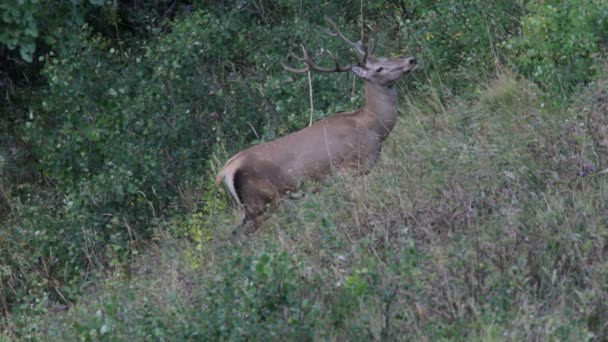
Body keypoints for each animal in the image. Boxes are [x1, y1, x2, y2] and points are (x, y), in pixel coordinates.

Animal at [215, 16, 418, 230]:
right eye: (379, 68)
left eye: (385, 57)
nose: (411, 60)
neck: (373, 128)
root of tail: (225, 170)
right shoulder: (347, 169)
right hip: (261, 201)